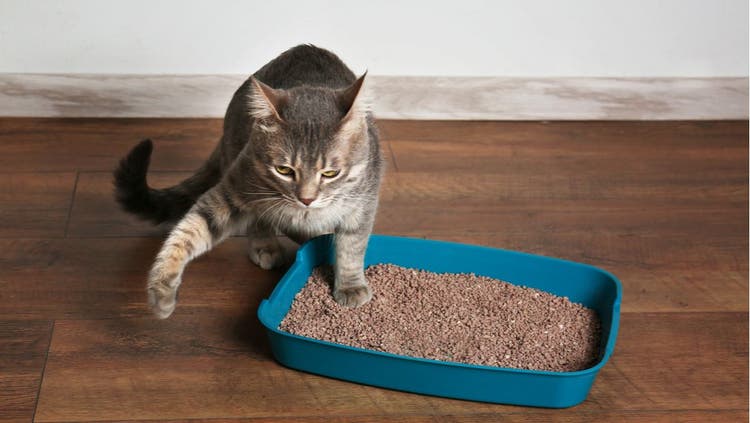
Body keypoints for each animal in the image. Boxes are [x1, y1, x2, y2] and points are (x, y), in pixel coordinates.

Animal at [114, 44, 384, 320]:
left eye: (330, 173)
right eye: (284, 170)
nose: (306, 199)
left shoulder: (363, 204)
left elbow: (351, 247)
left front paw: (351, 286)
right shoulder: (235, 189)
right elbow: (190, 231)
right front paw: (162, 288)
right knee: (259, 221)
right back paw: (267, 245)